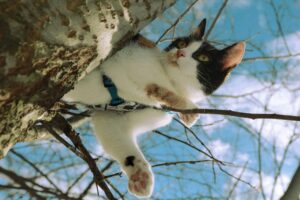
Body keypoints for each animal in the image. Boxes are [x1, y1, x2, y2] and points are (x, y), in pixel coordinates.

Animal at [62, 19, 244, 198]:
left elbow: (115, 135)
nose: (180, 53)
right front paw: (184, 105)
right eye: (182, 43)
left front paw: (140, 175)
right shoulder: (130, 56)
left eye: (203, 57)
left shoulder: (112, 117)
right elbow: (144, 81)